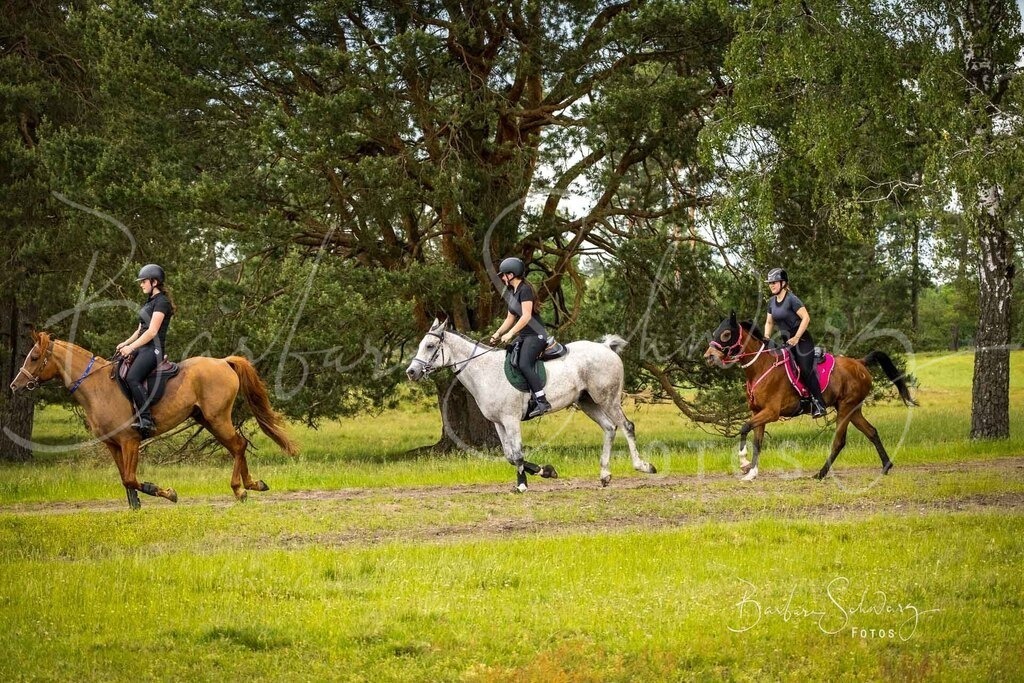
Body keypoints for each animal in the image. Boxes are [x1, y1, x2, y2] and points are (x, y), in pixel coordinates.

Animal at [9, 330, 298, 509]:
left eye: (34, 357)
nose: (15, 386)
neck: (97, 387)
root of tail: (223, 362)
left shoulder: (130, 441)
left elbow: (130, 477)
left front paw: (167, 493)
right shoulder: (113, 445)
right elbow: (124, 478)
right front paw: (135, 505)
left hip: (217, 419)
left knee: (238, 445)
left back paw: (240, 489)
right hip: (208, 420)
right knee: (238, 446)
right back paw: (253, 484)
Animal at [405, 319, 657, 492]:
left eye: (430, 346)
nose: (411, 372)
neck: (485, 370)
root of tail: (605, 348)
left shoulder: (510, 420)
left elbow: (517, 454)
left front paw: (522, 485)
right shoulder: (498, 423)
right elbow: (509, 455)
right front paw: (546, 471)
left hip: (607, 398)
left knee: (626, 426)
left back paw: (643, 466)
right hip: (587, 402)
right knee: (609, 428)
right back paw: (605, 474)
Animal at [703, 312, 915, 481]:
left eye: (726, 334)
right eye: (714, 333)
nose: (708, 357)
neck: (761, 366)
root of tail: (860, 363)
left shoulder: (771, 412)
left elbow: (744, 427)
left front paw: (743, 462)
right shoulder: (758, 412)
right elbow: (757, 442)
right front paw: (752, 472)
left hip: (846, 408)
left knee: (839, 441)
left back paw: (820, 474)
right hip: (852, 409)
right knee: (871, 432)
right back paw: (886, 466)